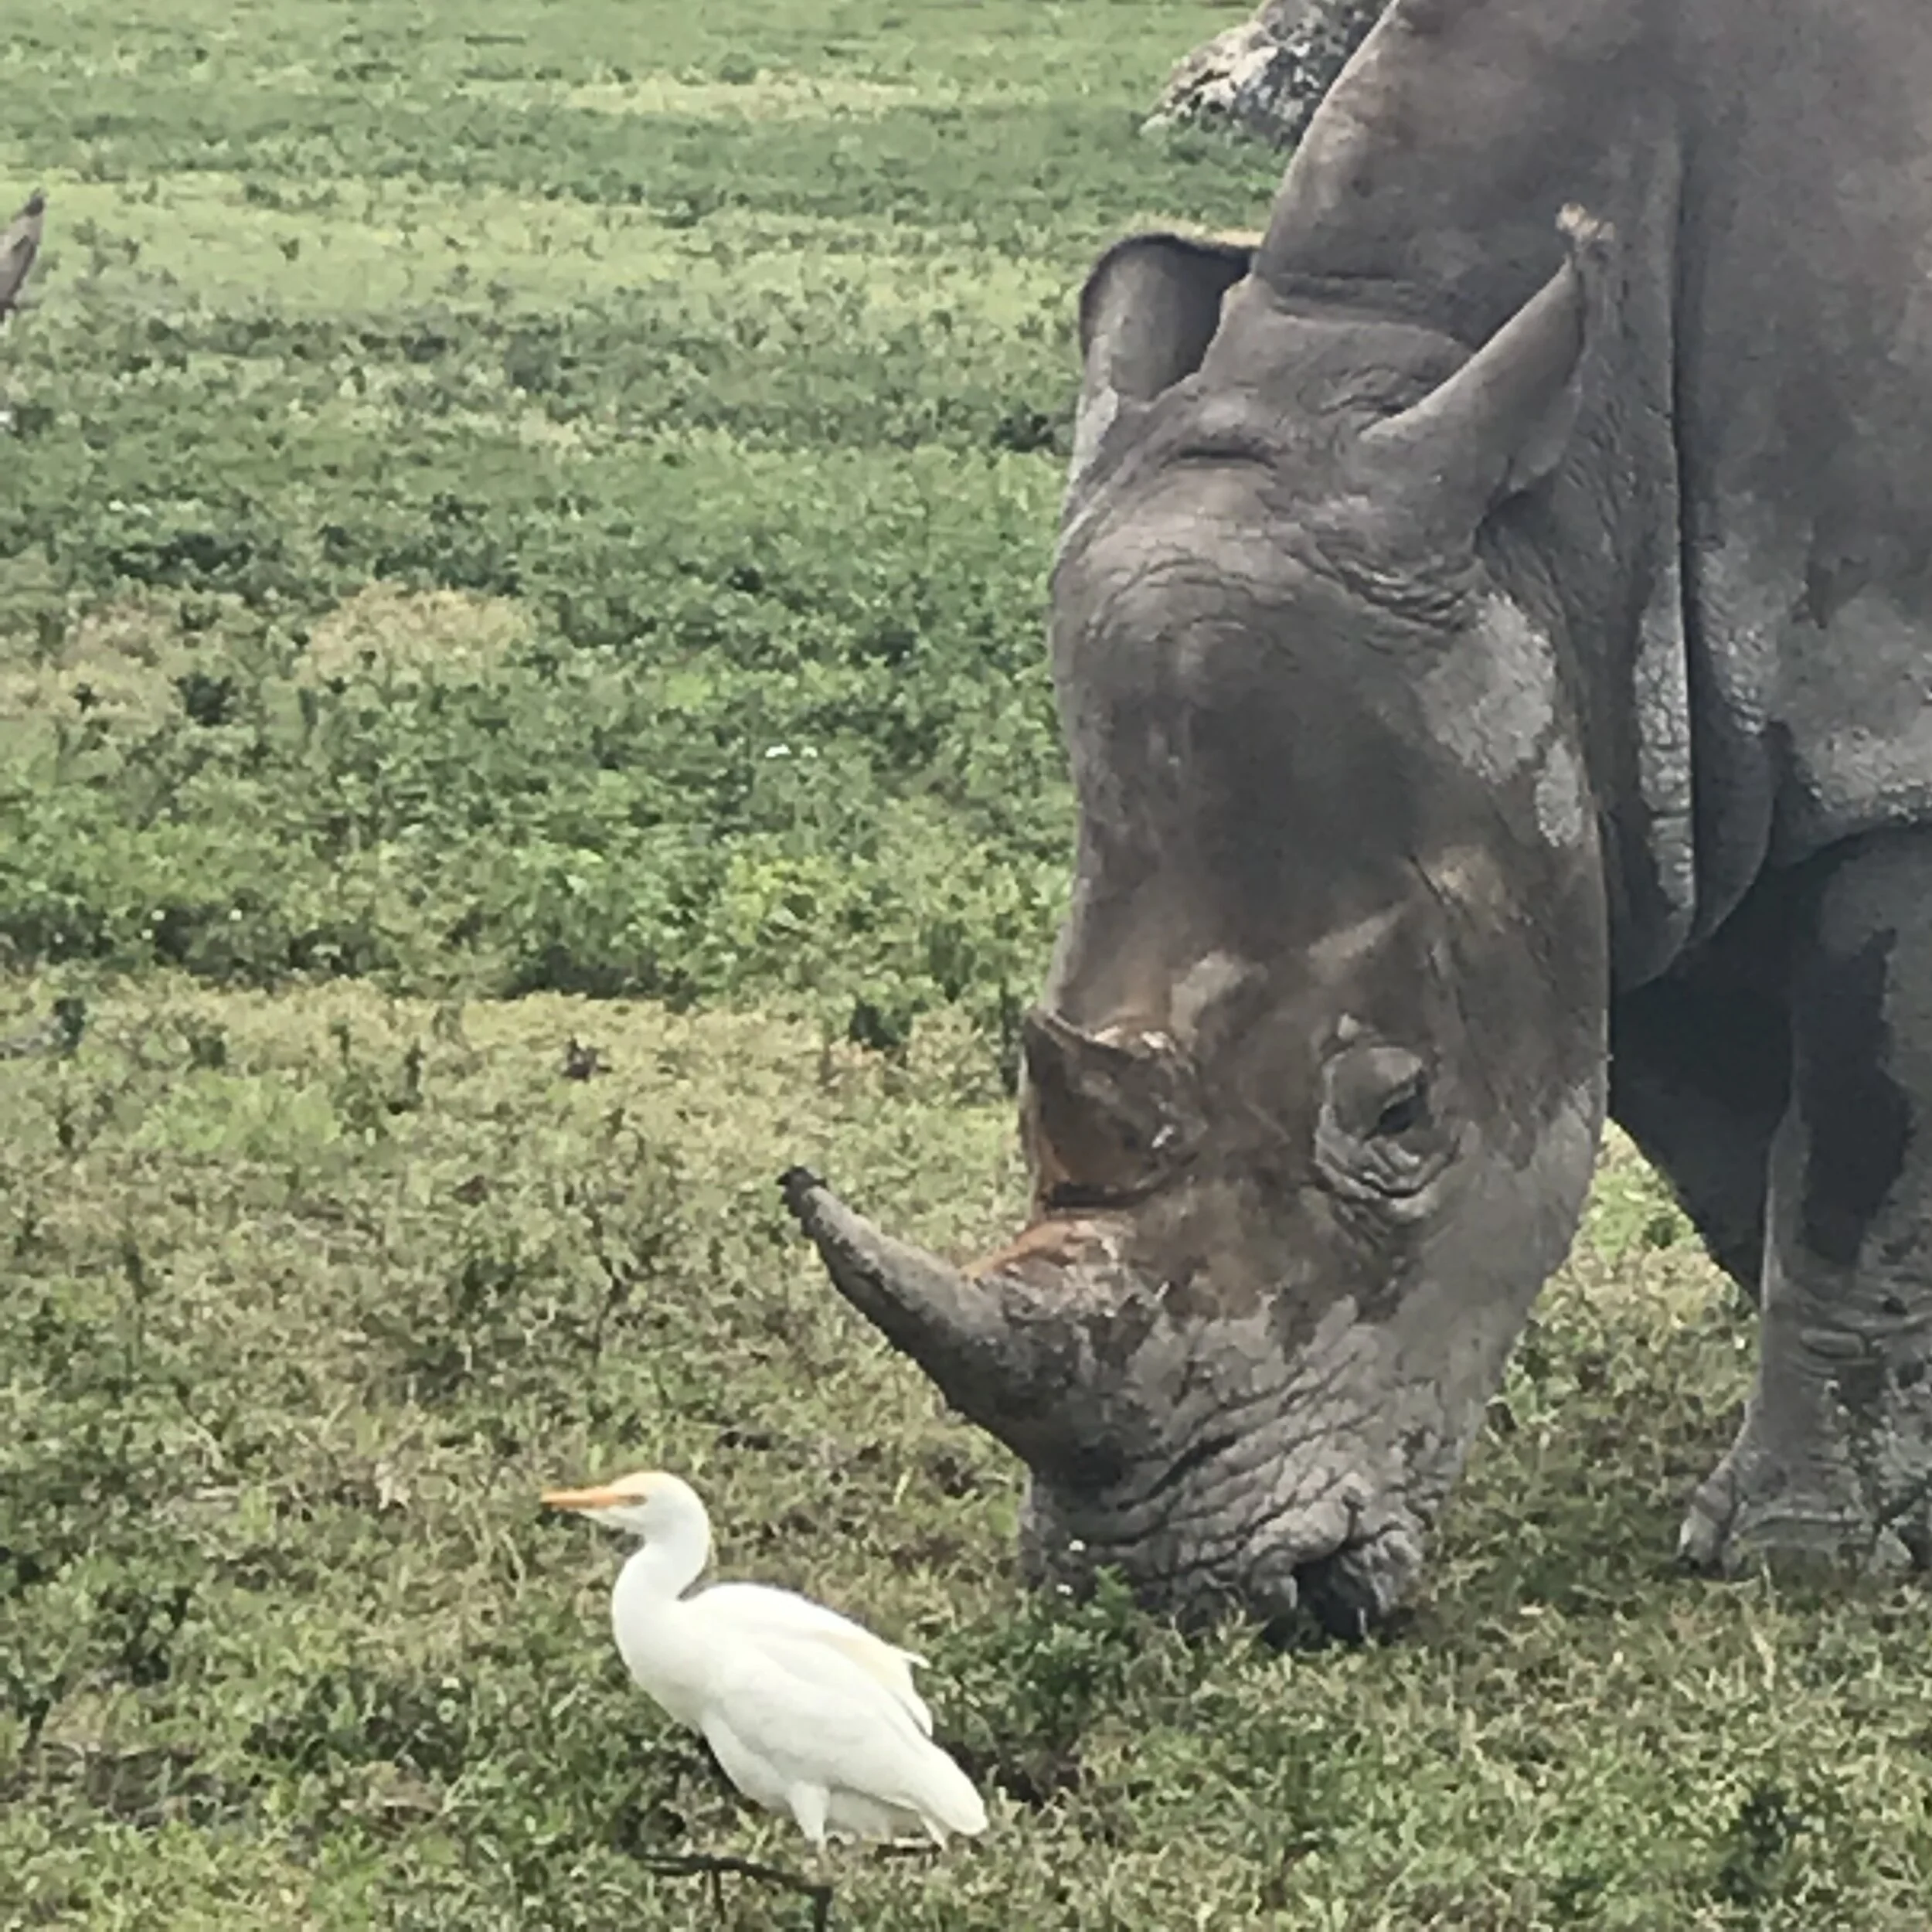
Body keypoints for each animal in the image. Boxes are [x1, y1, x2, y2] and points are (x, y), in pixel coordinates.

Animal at [784, 0, 1932, 1633]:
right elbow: (1724, 1147)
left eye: (1400, 1115)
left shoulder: (1880, 740)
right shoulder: (1629, 782)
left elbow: (1849, 1153)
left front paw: (1801, 1554)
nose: (1185, 1595)